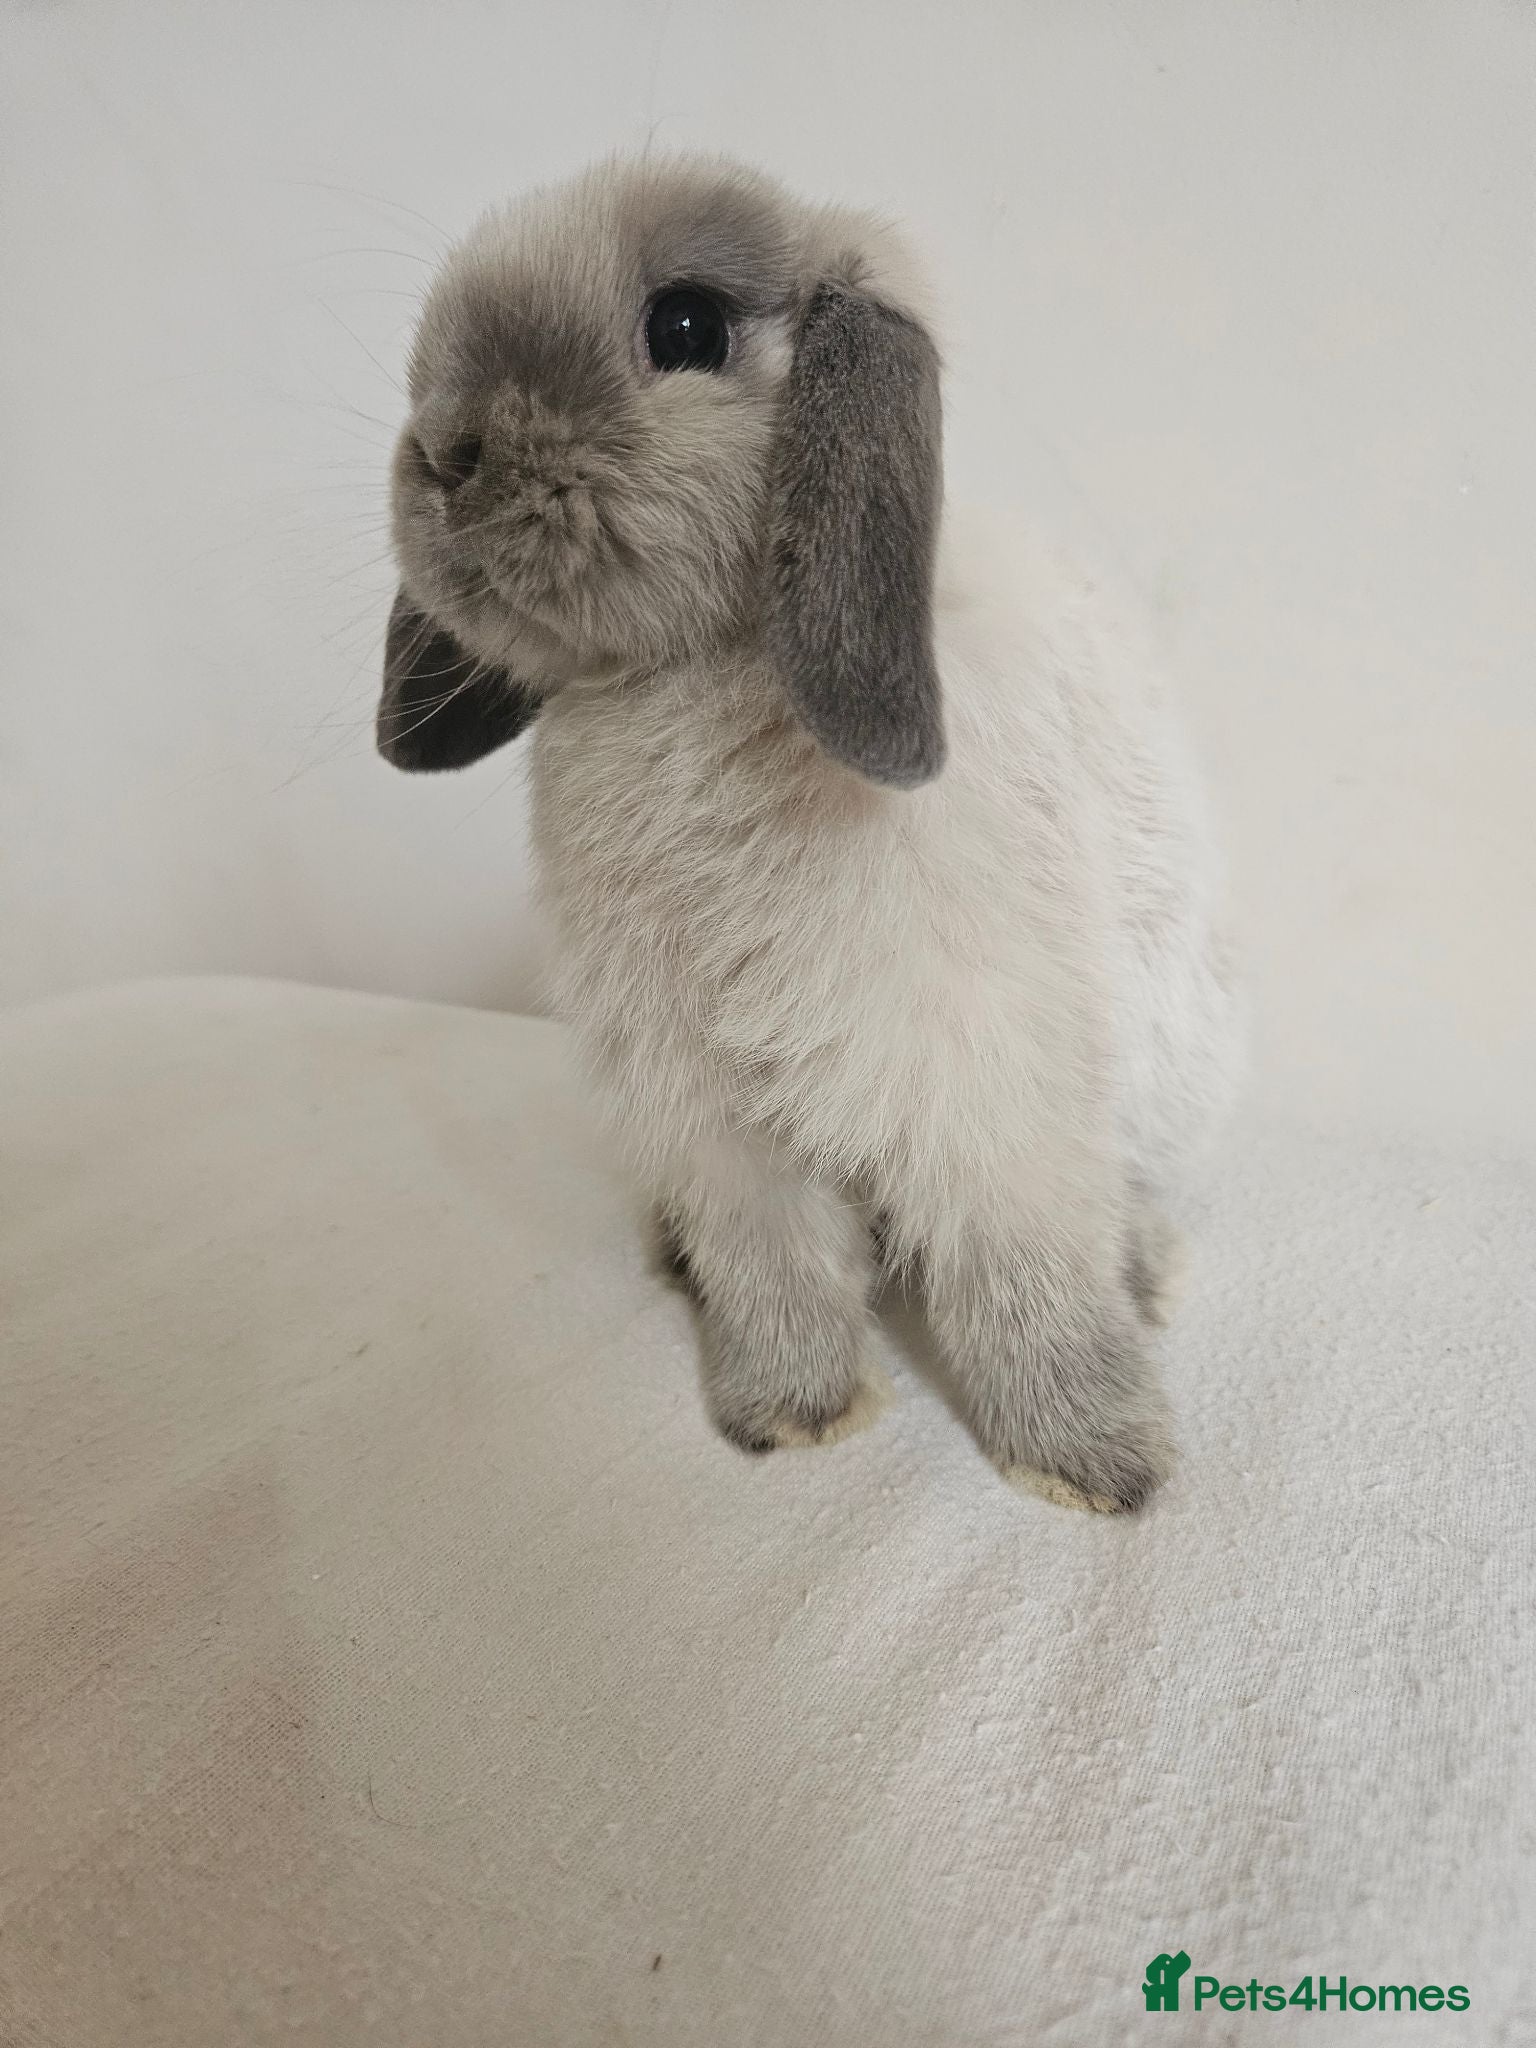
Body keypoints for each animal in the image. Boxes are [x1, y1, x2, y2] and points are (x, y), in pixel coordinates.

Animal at [376, 154, 1239, 1513]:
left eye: (686, 327)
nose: (444, 451)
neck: (687, 672)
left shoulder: (984, 1077)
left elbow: (1029, 1271)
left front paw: (1094, 1461)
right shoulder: (710, 1109)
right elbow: (774, 1261)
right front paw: (793, 1414)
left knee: (1128, 1186)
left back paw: (1146, 1271)